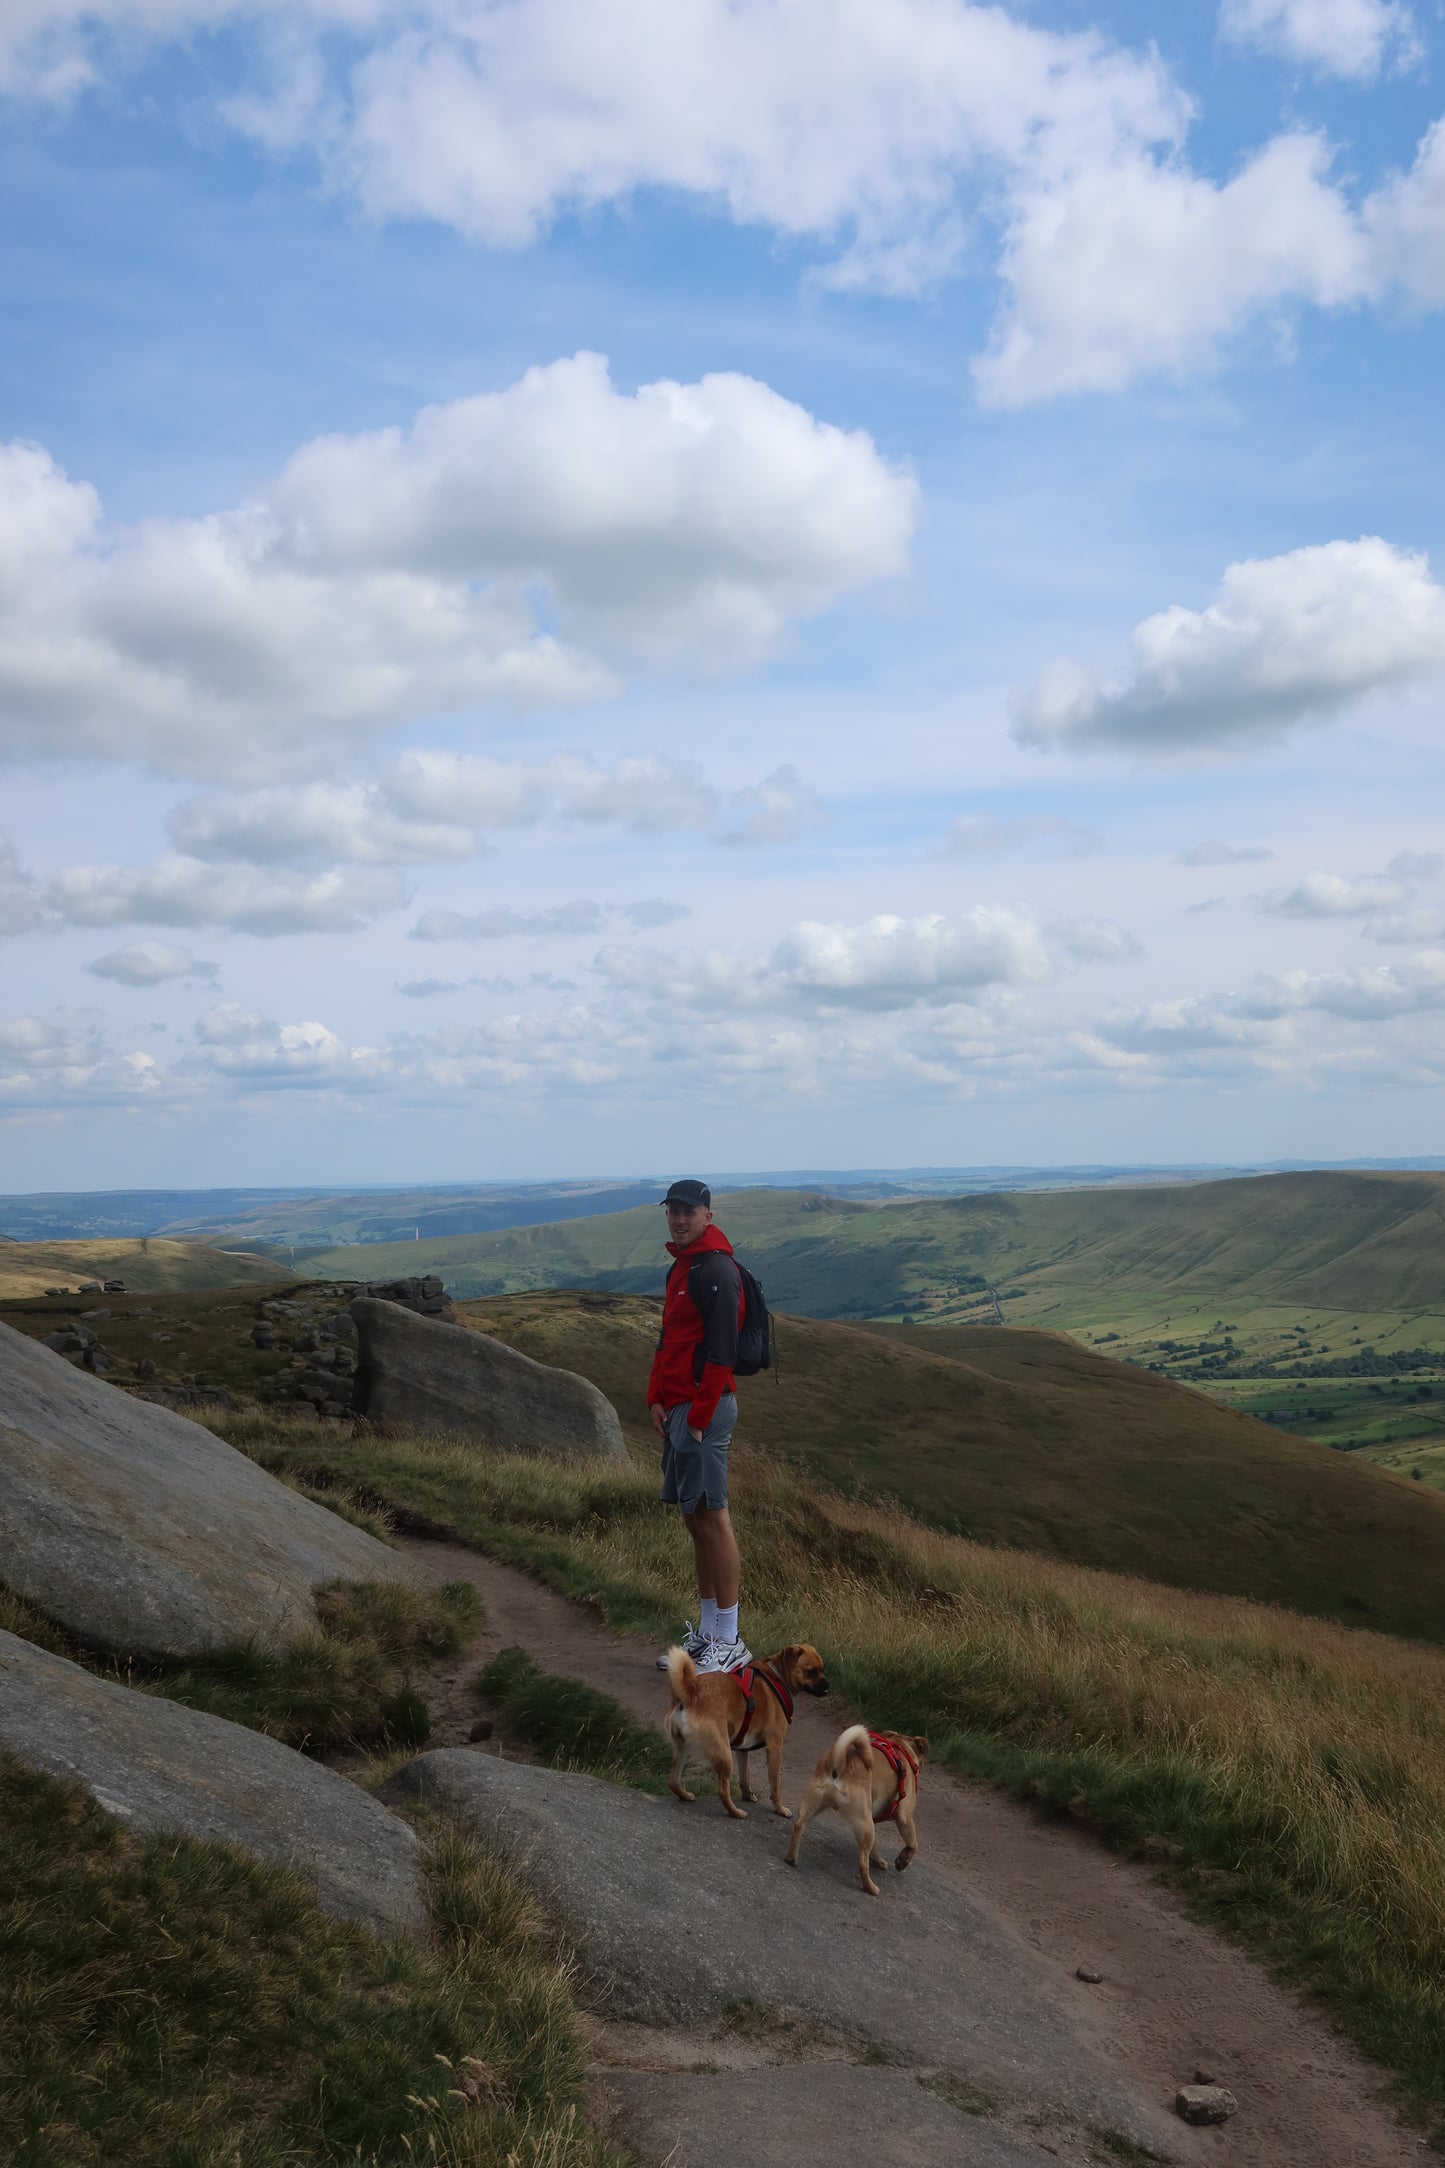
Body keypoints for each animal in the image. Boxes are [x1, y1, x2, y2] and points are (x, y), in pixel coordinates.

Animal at [662, 1647, 823, 1821]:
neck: (777, 1674)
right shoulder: (774, 1748)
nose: (827, 1685)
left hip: (681, 1750)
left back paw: (685, 1796)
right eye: (811, 1672)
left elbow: (744, 1777)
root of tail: (690, 1693)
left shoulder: (742, 1749)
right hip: (724, 1755)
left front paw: (748, 1796)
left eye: (822, 1669)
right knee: (723, 1791)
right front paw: (780, 1809)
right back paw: (736, 1812)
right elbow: (775, 1786)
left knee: (673, 1782)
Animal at [784, 1725, 931, 1899]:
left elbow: (876, 1847)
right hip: (865, 1824)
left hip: (813, 1807)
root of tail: (840, 1763)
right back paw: (871, 1888)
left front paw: (878, 1860)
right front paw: (903, 1860)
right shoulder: (905, 1817)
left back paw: (791, 1858)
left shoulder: (874, 1819)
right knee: (862, 1862)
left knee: (798, 1826)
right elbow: (913, 1844)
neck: (902, 1749)